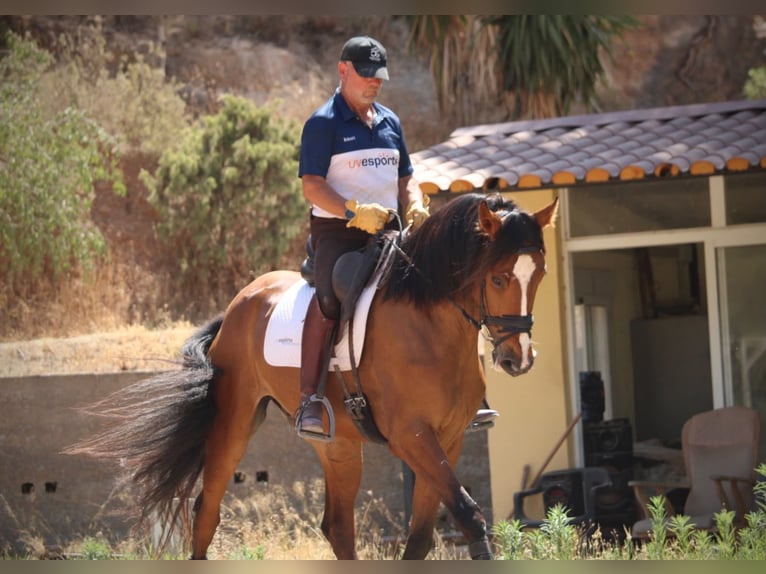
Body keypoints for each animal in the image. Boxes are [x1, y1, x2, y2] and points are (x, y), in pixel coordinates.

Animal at [67, 192, 558, 560]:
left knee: (337, 526)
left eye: (540, 275)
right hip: (233, 423)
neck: (430, 323)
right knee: (207, 509)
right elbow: (469, 515)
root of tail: (240, 301)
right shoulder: (411, 436)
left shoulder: (449, 438)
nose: (518, 359)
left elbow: (421, 536)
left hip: (337, 443)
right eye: (498, 279)